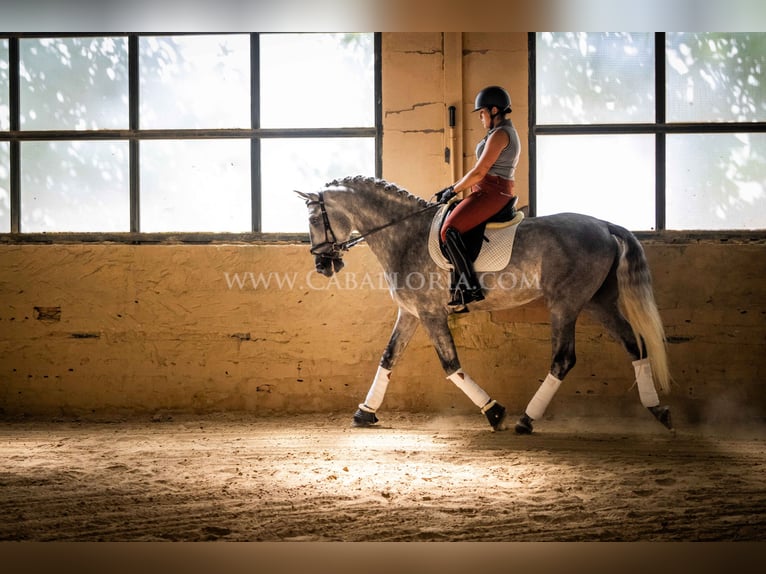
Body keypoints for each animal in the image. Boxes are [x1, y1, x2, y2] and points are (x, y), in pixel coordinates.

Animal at [294, 176, 672, 436]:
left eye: (313, 221)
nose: (323, 265)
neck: (404, 235)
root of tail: (605, 226)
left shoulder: (430, 313)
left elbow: (450, 365)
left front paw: (494, 412)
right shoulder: (411, 313)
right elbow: (388, 358)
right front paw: (365, 412)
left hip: (566, 305)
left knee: (564, 359)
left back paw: (527, 419)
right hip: (598, 302)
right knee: (634, 345)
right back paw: (659, 410)